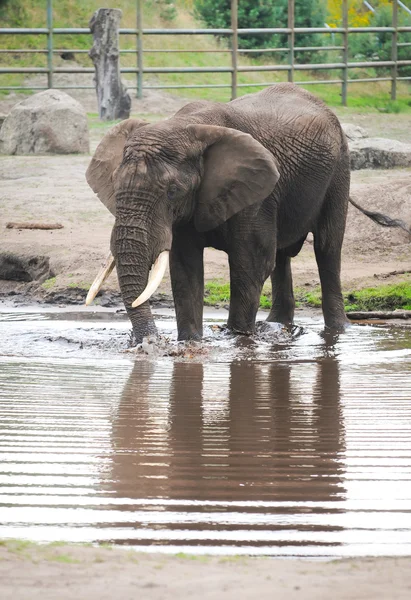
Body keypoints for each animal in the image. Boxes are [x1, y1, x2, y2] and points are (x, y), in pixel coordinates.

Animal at [85, 82, 408, 344]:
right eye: (114, 186)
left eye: (172, 191)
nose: (149, 343)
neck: (186, 126)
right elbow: (185, 269)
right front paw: (189, 343)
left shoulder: (254, 193)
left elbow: (250, 263)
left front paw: (237, 338)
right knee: (282, 256)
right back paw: (277, 326)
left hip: (340, 167)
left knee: (327, 248)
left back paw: (338, 331)